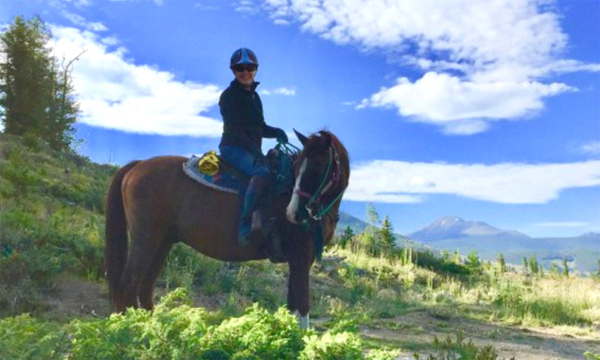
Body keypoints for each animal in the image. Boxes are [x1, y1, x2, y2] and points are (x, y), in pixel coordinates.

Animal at [103, 129, 346, 326]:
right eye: (297, 168)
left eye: (317, 168)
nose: (293, 213)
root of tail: (138, 165)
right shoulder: (301, 257)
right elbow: (303, 307)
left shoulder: (300, 261)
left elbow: (292, 305)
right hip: (145, 238)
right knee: (130, 282)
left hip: (163, 241)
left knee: (146, 284)